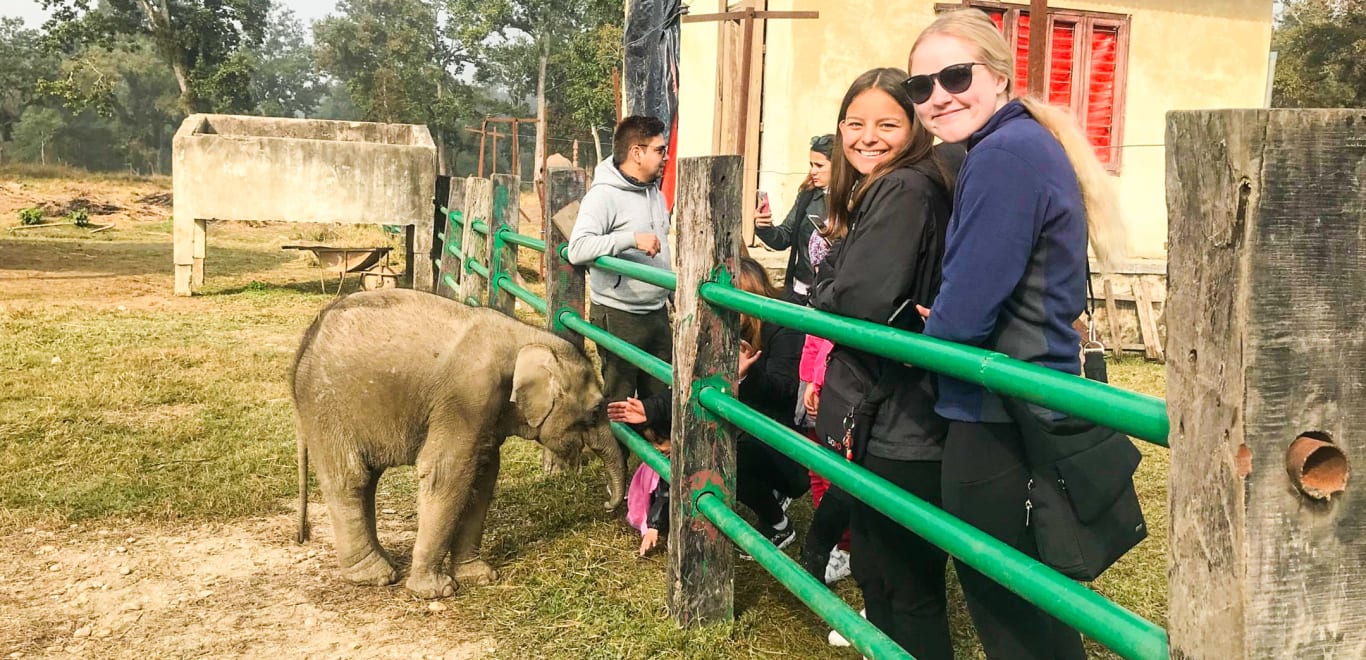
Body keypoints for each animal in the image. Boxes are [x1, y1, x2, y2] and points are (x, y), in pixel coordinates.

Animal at [293, 289, 628, 598]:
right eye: (596, 411)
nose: (608, 504)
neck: (527, 337)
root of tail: (302, 350)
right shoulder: (467, 399)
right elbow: (447, 474)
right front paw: (437, 591)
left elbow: (482, 477)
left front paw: (480, 577)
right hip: (329, 409)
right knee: (351, 478)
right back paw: (375, 576)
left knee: (367, 480)